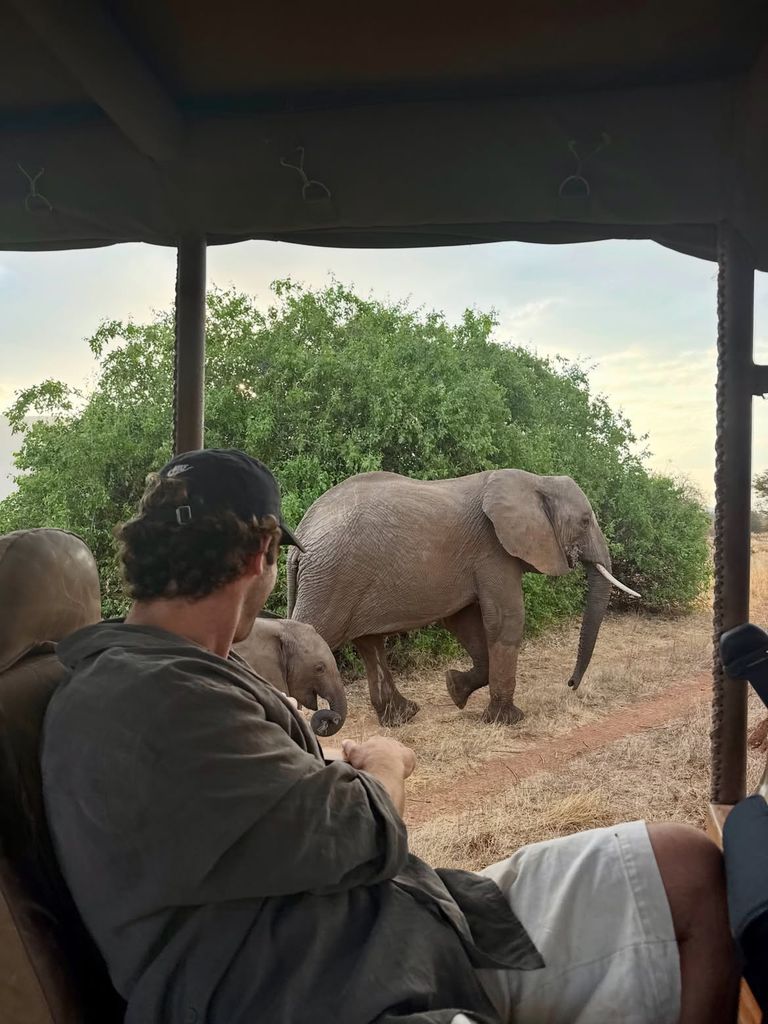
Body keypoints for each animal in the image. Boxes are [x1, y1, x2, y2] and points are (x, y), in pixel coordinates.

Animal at [287, 469, 639, 727]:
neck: (536, 480)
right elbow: (506, 620)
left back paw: (403, 717)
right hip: (331, 578)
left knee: (370, 642)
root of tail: (300, 537)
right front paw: (507, 721)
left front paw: (455, 691)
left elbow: (464, 621)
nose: (570, 684)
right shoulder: (493, 550)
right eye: (585, 521)